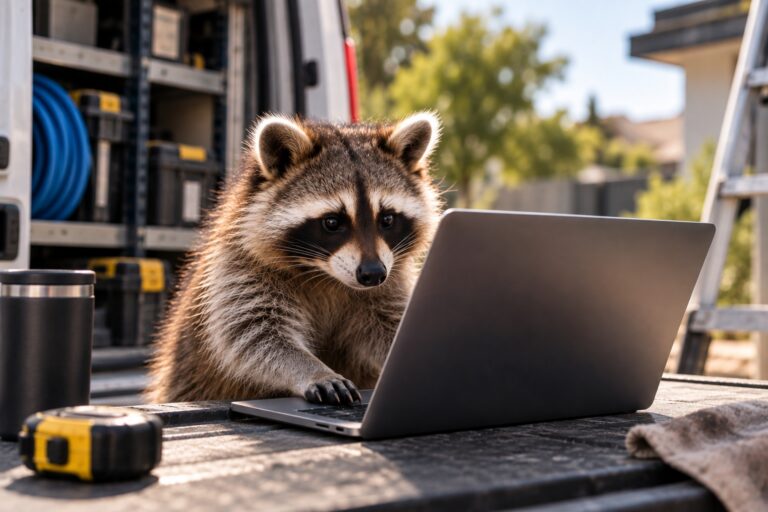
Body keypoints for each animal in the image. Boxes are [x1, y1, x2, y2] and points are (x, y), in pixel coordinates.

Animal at [146, 112, 442, 404]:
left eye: (387, 219)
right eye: (332, 222)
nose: (373, 274)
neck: (327, 276)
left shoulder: (391, 279)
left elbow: (392, 323)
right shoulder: (238, 268)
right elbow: (253, 334)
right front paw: (312, 370)